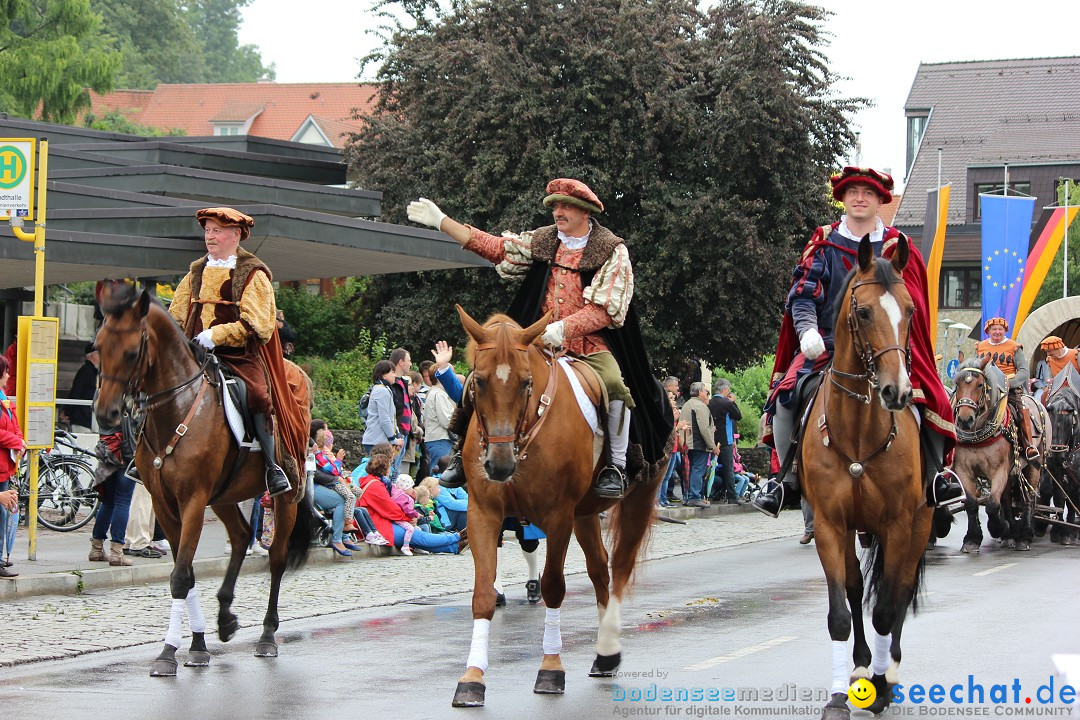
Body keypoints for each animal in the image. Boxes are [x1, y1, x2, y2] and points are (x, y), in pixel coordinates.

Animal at [93, 280, 315, 677]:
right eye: (99, 347)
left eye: (132, 353)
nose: (106, 415)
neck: (178, 408)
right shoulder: (165, 505)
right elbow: (186, 572)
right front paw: (196, 645)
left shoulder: (193, 501)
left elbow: (181, 576)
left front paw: (169, 653)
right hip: (225, 495)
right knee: (241, 537)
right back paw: (225, 617)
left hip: (284, 496)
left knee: (276, 557)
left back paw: (267, 636)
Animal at [447, 306, 665, 708]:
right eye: (478, 382)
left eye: (526, 383)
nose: (498, 465)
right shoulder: (483, 513)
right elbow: (483, 595)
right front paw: (472, 678)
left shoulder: (558, 516)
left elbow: (553, 586)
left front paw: (550, 668)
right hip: (586, 514)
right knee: (599, 572)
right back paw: (603, 655)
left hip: (637, 498)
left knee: (619, 569)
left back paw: (608, 646)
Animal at [803, 236, 928, 720]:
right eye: (864, 312)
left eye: (910, 311)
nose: (898, 392)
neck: (858, 433)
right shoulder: (829, 525)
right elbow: (842, 611)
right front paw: (840, 696)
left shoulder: (898, 524)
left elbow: (886, 610)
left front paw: (881, 686)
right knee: (859, 589)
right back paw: (859, 666)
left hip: (920, 524)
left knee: (900, 592)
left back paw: (887, 670)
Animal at [946, 358, 1045, 557]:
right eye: (957, 384)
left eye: (979, 385)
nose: (965, 420)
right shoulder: (963, 470)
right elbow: (971, 503)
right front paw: (972, 539)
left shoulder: (998, 470)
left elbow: (992, 504)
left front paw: (997, 528)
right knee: (1006, 498)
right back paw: (1011, 533)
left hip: (1033, 464)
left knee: (1029, 498)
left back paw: (1024, 536)